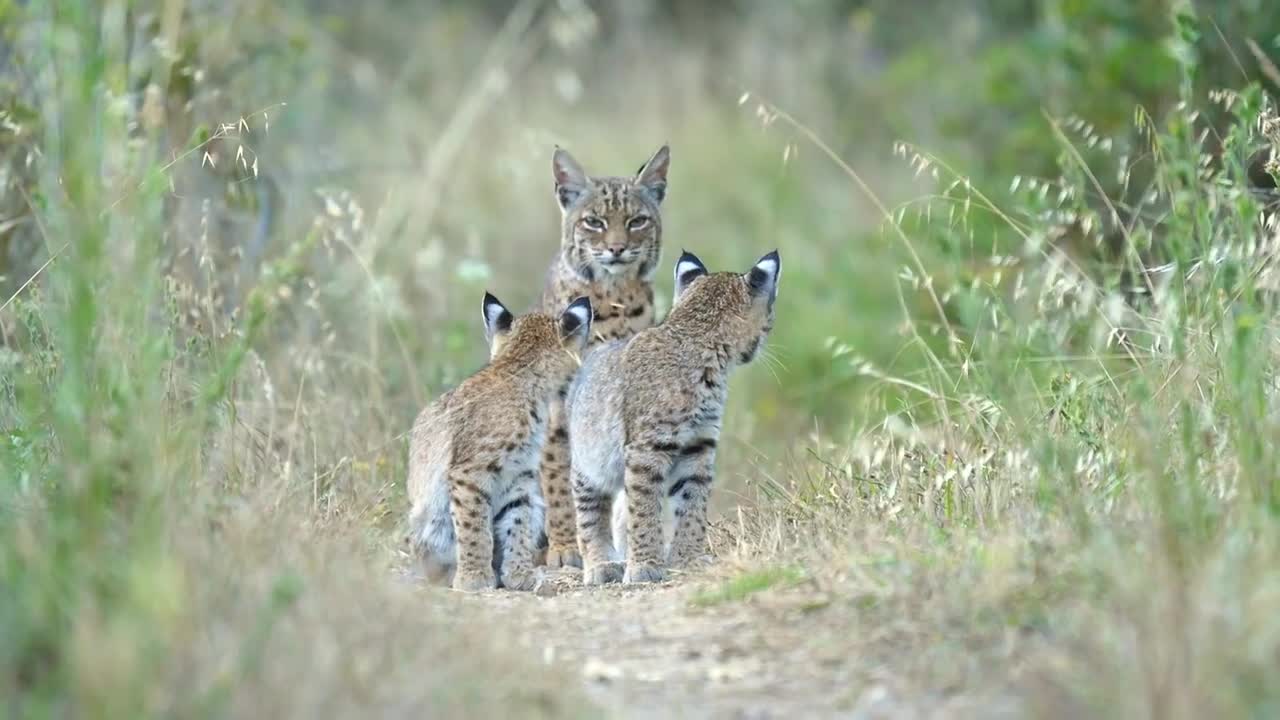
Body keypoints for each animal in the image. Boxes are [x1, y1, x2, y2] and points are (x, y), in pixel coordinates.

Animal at [404, 289, 593, 589]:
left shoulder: (518, 475)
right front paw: (474, 578)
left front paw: (519, 574)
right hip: (431, 518)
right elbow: (474, 526)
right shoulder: (470, 472)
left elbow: (517, 522)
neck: (518, 367)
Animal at [532, 144, 670, 566]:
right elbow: (559, 477)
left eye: (637, 221)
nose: (617, 249)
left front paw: (629, 544)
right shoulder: (558, 408)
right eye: (593, 222)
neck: (615, 293)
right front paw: (566, 548)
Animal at [568, 248, 778, 584]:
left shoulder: (699, 445)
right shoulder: (647, 449)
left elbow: (693, 504)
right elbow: (644, 507)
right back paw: (601, 564)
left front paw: (687, 558)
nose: (759, 346)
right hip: (590, 461)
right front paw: (644, 565)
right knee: (590, 512)